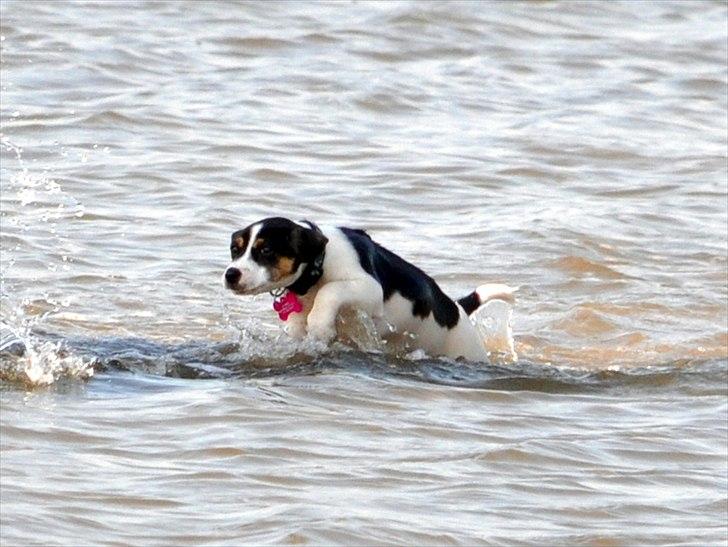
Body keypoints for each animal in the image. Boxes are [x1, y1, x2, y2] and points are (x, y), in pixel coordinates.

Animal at [225, 216, 516, 362]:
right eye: (235, 250)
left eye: (266, 250)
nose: (230, 274)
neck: (318, 266)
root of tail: (456, 308)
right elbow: (298, 324)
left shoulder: (368, 290)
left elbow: (331, 292)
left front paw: (320, 325)